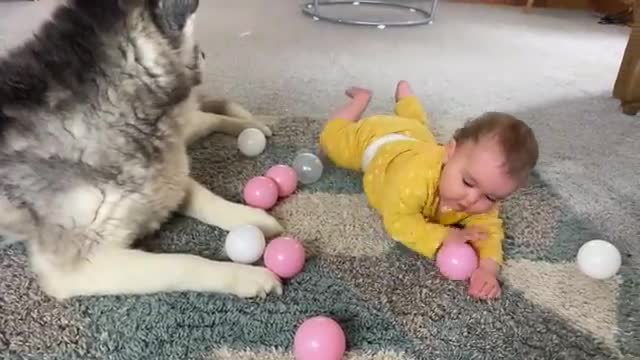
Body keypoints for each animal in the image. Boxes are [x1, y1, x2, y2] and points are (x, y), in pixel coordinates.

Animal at [0, 0, 284, 298]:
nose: (206, 54)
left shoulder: (166, 173)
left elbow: (205, 197)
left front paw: (249, 216)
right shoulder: (77, 267)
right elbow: (182, 264)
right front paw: (245, 275)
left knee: (209, 114)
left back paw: (253, 123)